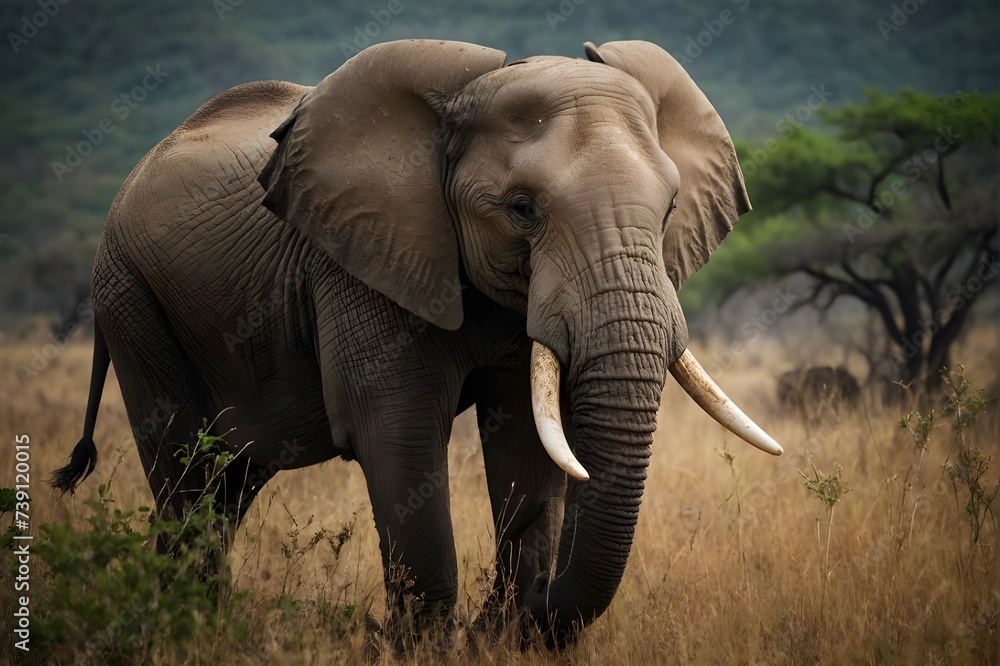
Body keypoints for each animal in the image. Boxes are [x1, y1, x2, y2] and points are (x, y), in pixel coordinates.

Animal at [52, 39, 782, 646]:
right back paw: (188, 630)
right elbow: (397, 436)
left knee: (229, 486)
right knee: (187, 478)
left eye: (669, 210)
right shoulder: (356, 262)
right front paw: (423, 646)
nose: (539, 612)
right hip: (130, 297)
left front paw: (500, 640)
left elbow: (527, 443)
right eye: (522, 210)